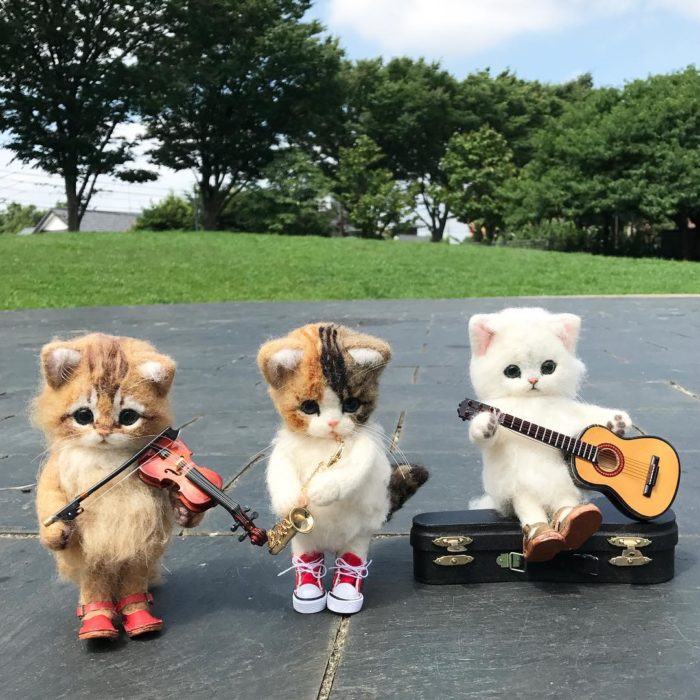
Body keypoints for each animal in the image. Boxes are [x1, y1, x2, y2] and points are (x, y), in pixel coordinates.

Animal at [33, 334, 200, 640]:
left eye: (128, 417)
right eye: (84, 416)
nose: (104, 432)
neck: (105, 458)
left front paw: (187, 513)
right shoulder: (55, 474)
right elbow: (49, 499)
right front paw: (54, 533)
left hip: (136, 557)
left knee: (132, 584)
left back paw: (141, 620)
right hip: (94, 561)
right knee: (96, 584)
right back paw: (97, 625)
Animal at [258, 322, 426, 612]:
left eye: (351, 404)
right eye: (309, 407)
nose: (333, 424)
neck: (324, 445)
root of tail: (331, 544)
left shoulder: (365, 447)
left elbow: (353, 468)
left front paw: (321, 490)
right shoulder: (285, 449)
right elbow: (280, 469)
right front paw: (292, 499)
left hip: (358, 534)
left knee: (351, 556)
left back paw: (345, 592)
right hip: (304, 539)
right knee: (308, 554)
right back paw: (309, 591)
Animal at [468, 308, 632, 560]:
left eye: (548, 367)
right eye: (512, 371)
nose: (533, 380)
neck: (533, 402)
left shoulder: (571, 414)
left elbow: (588, 416)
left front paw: (618, 422)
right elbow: (487, 437)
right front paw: (486, 424)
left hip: (563, 485)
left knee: (565, 503)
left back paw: (577, 519)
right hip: (522, 492)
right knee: (531, 511)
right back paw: (543, 537)